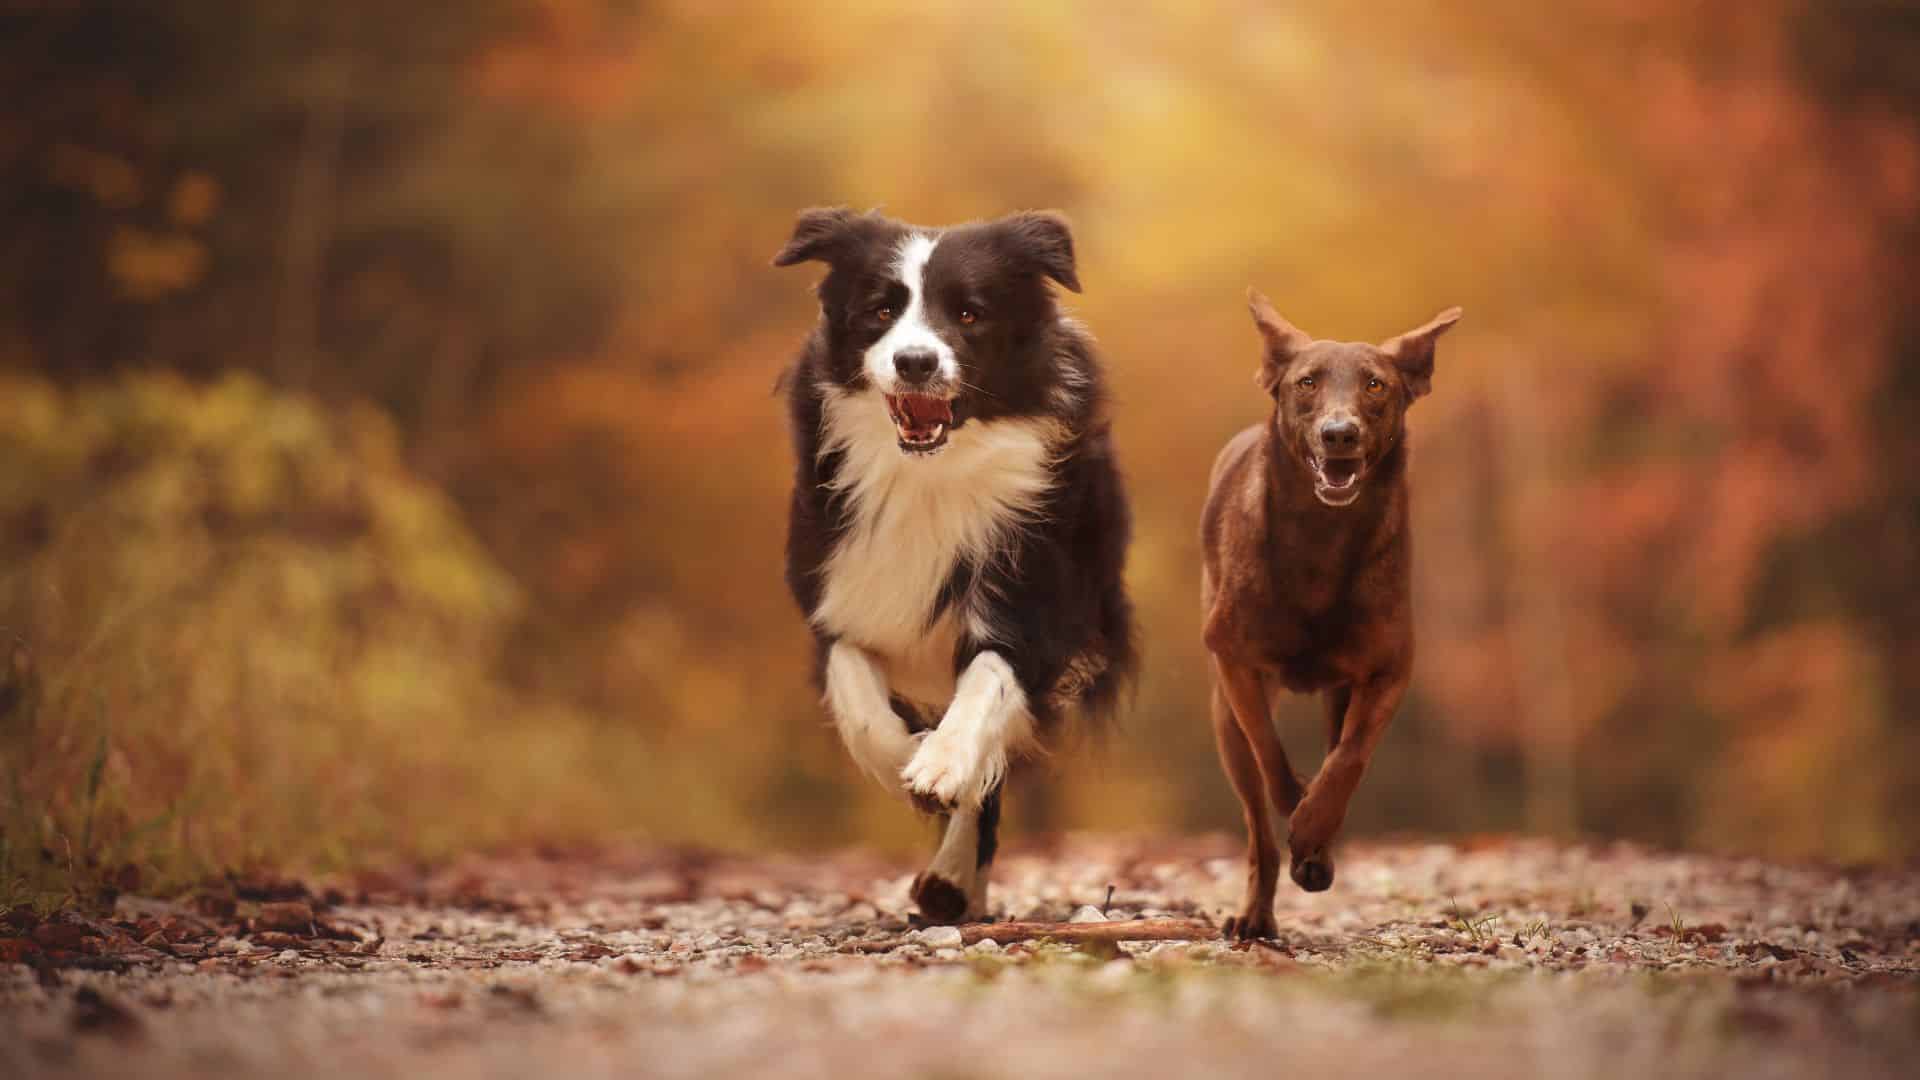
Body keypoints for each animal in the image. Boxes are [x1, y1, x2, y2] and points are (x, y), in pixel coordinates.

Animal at [1198, 286, 1451, 933]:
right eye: (1307, 382)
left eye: (1376, 385)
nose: (1340, 433)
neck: (1323, 534)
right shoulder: (1236, 662)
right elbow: (1269, 750)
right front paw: (1296, 805)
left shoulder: (1390, 668)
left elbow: (1349, 758)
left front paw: (1314, 829)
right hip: (1223, 718)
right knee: (1257, 827)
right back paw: (1256, 916)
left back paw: (1315, 854)